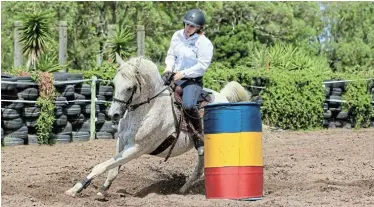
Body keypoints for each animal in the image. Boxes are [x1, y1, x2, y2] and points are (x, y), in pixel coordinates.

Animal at [65, 53, 250, 197]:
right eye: (114, 83)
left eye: (130, 87)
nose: (114, 114)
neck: (148, 109)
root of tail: (223, 97)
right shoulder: (122, 142)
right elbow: (112, 169)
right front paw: (98, 190)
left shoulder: (136, 149)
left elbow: (101, 166)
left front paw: (75, 189)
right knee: (199, 168)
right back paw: (182, 189)